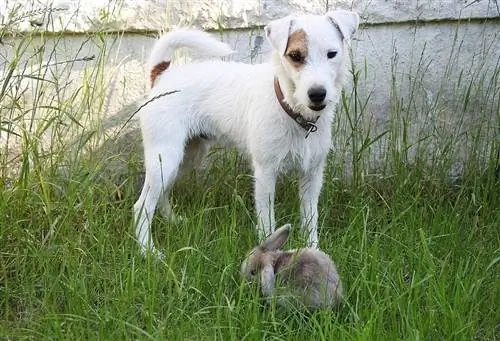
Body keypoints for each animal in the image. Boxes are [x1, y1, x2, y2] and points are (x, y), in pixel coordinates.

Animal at [133, 9, 360, 255]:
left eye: (332, 54)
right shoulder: (265, 174)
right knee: (142, 206)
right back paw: (148, 251)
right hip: (165, 157)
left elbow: (310, 219)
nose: (317, 94)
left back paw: (173, 221)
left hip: (185, 158)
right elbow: (267, 220)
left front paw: (313, 250)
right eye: (296, 56)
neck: (290, 107)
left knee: (162, 194)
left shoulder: (312, 175)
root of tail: (161, 76)